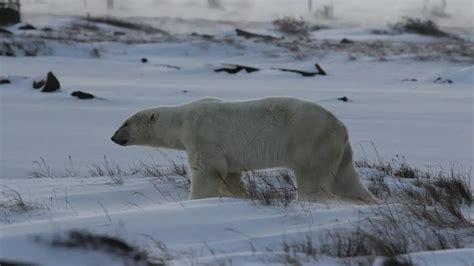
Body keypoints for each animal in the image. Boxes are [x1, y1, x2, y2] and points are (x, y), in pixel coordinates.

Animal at [112, 97, 378, 204]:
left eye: (125, 123)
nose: (113, 138)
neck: (182, 119)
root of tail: (340, 126)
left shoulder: (202, 135)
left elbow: (206, 170)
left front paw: (196, 199)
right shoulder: (227, 153)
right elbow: (231, 176)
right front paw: (239, 195)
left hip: (310, 141)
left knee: (313, 177)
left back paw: (310, 199)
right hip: (339, 150)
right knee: (346, 178)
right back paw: (368, 200)